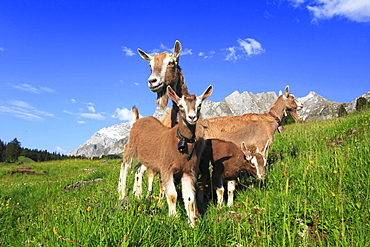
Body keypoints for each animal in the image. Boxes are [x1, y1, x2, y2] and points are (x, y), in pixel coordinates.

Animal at [117, 84, 212, 226]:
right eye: (180, 105)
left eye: (199, 105)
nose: (192, 117)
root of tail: (138, 120)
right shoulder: (166, 168)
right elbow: (172, 195)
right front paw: (173, 217)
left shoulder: (189, 171)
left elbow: (190, 198)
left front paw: (193, 223)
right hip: (131, 146)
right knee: (125, 166)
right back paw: (121, 194)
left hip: (146, 157)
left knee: (138, 169)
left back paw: (138, 195)